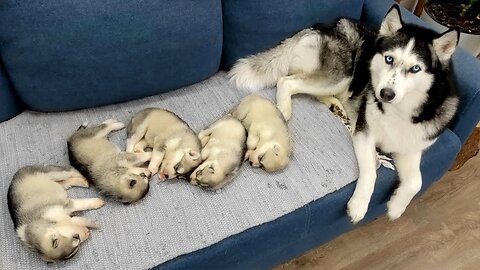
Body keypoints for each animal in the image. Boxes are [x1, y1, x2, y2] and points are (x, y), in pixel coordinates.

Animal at [229, 4, 462, 224]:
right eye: (389, 59)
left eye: (415, 69)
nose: (385, 94)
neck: (398, 111)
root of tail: (323, 25)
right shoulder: (364, 132)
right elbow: (372, 170)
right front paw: (359, 206)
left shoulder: (412, 146)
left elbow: (416, 182)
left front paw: (397, 207)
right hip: (342, 75)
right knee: (286, 81)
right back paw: (284, 109)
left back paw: (336, 106)